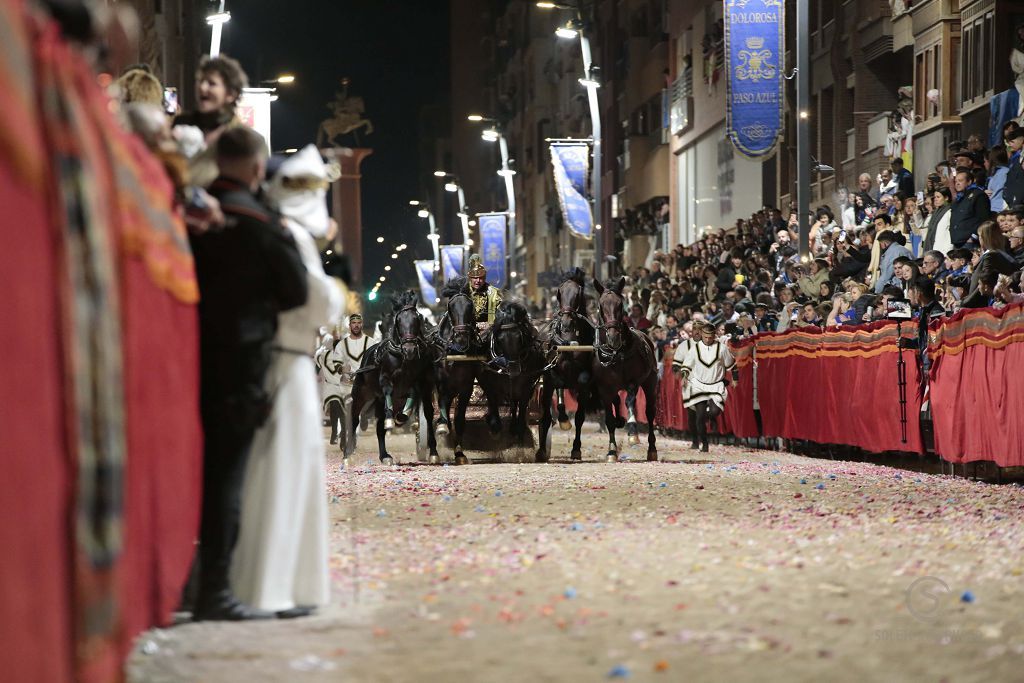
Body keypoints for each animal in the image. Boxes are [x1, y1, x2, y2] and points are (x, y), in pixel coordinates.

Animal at [346, 290, 438, 464]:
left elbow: (417, 399)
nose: (409, 349)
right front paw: (393, 419)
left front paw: (402, 417)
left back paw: (385, 455)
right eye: (399, 320)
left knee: (381, 427)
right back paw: (348, 454)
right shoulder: (385, 379)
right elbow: (388, 389)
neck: (402, 357)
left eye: (417, 319)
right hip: (361, 395)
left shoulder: (420, 383)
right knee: (354, 419)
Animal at [428, 276, 483, 464]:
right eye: (451, 307)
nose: (461, 338)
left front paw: (459, 453)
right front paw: (442, 427)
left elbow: (459, 419)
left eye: (470, 306)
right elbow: (444, 410)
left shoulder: (466, 387)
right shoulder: (442, 386)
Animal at [477, 301, 548, 440]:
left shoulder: (527, 387)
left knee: (515, 404)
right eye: (499, 339)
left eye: (519, 336)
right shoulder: (489, 385)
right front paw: (494, 426)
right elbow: (492, 401)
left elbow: (522, 406)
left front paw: (519, 429)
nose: (514, 369)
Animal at [532, 270, 598, 462]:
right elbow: (546, 417)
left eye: (578, 293)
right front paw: (541, 451)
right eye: (559, 292)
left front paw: (576, 449)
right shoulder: (548, 378)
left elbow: (580, 417)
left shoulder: (584, 383)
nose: (566, 323)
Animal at [593, 278, 655, 464]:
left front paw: (633, 432)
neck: (616, 353)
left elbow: (630, 402)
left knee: (650, 411)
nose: (613, 337)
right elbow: (609, 419)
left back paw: (652, 449)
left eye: (620, 305)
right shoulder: (604, 388)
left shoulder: (632, 382)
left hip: (650, 381)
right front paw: (612, 451)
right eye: (601, 305)